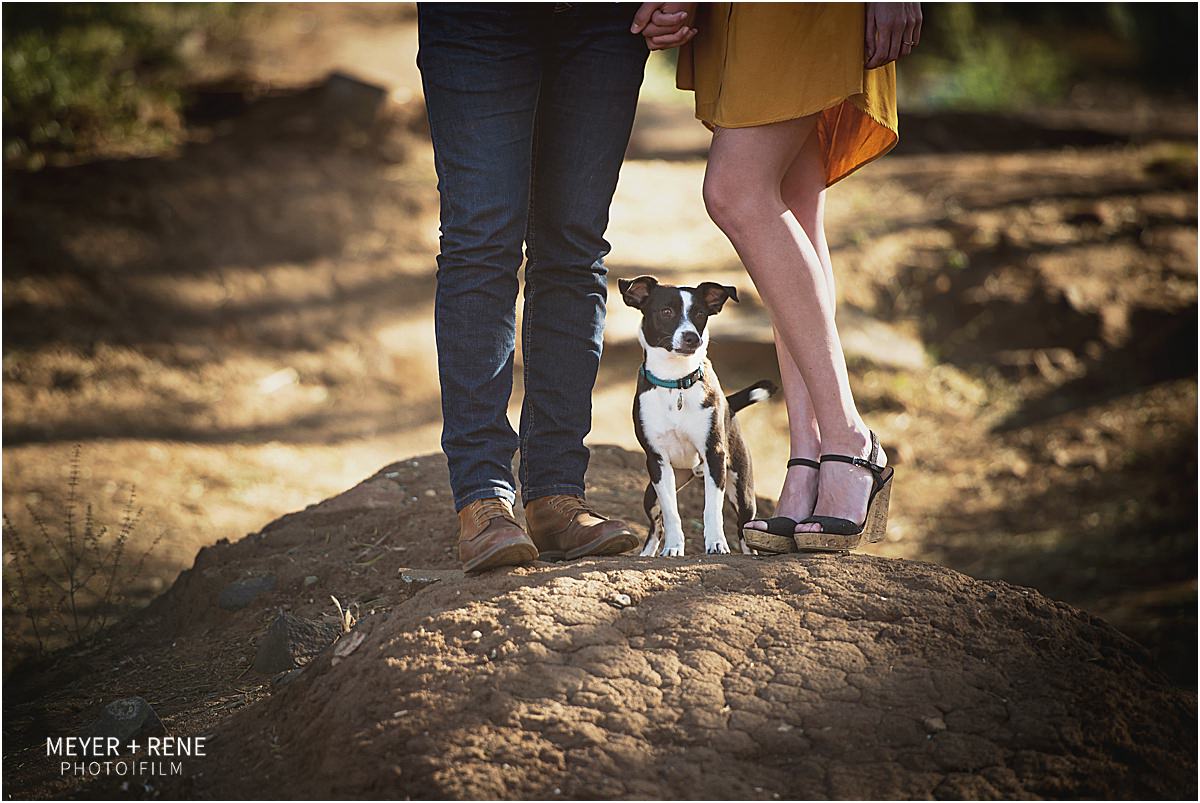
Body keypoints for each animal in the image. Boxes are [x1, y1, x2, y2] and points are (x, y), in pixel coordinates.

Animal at [619, 272, 777, 554]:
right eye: (666, 311)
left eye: (700, 314)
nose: (692, 337)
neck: (676, 383)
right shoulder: (657, 461)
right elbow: (671, 513)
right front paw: (673, 547)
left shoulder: (714, 456)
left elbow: (711, 510)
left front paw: (716, 544)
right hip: (651, 492)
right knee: (656, 525)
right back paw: (648, 552)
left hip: (742, 491)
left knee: (744, 528)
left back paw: (749, 552)